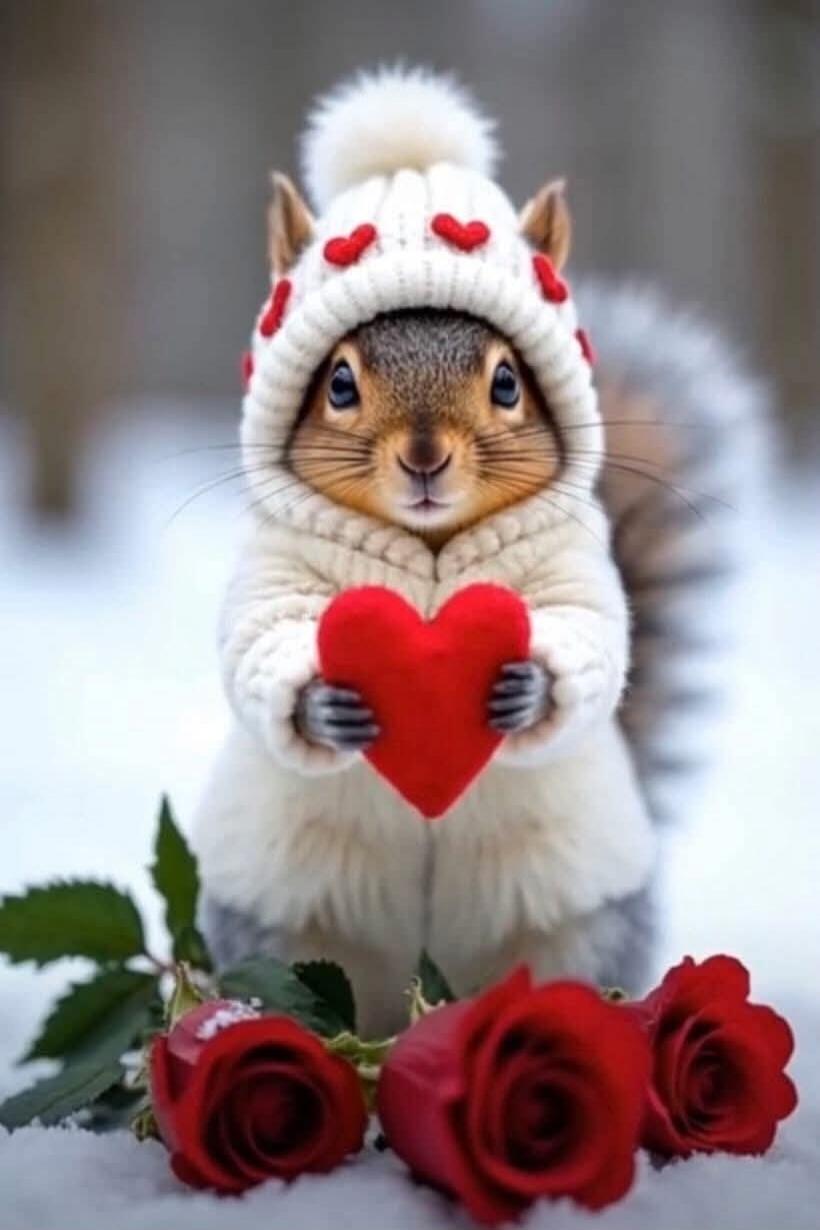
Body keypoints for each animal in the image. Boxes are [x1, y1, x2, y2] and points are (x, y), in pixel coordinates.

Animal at [192, 69, 762, 1036]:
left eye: (505, 381)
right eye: (338, 382)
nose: (425, 457)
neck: (428, 553)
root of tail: (412, 1002)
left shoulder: (576, 565)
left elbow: (594, 631)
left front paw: (527, 688)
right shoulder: (272, 566)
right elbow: (256, 636)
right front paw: (325, 706)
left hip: (571, 926)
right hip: (290, 931)